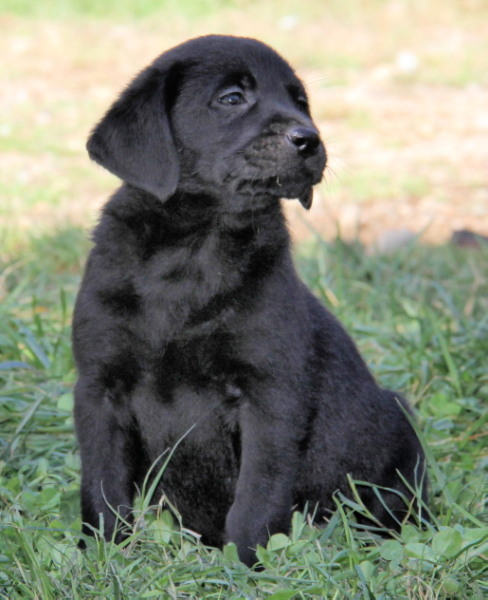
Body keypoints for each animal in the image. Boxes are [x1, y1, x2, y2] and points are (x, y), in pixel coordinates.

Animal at [73, 34, 428, 568]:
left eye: (300, 101)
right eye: (232, 98)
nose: (309, 138)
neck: (193, 251)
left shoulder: (268, 395)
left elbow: (257, 494)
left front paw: (245, 564)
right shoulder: (99, 387)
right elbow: (102, 484)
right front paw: (104, 554)